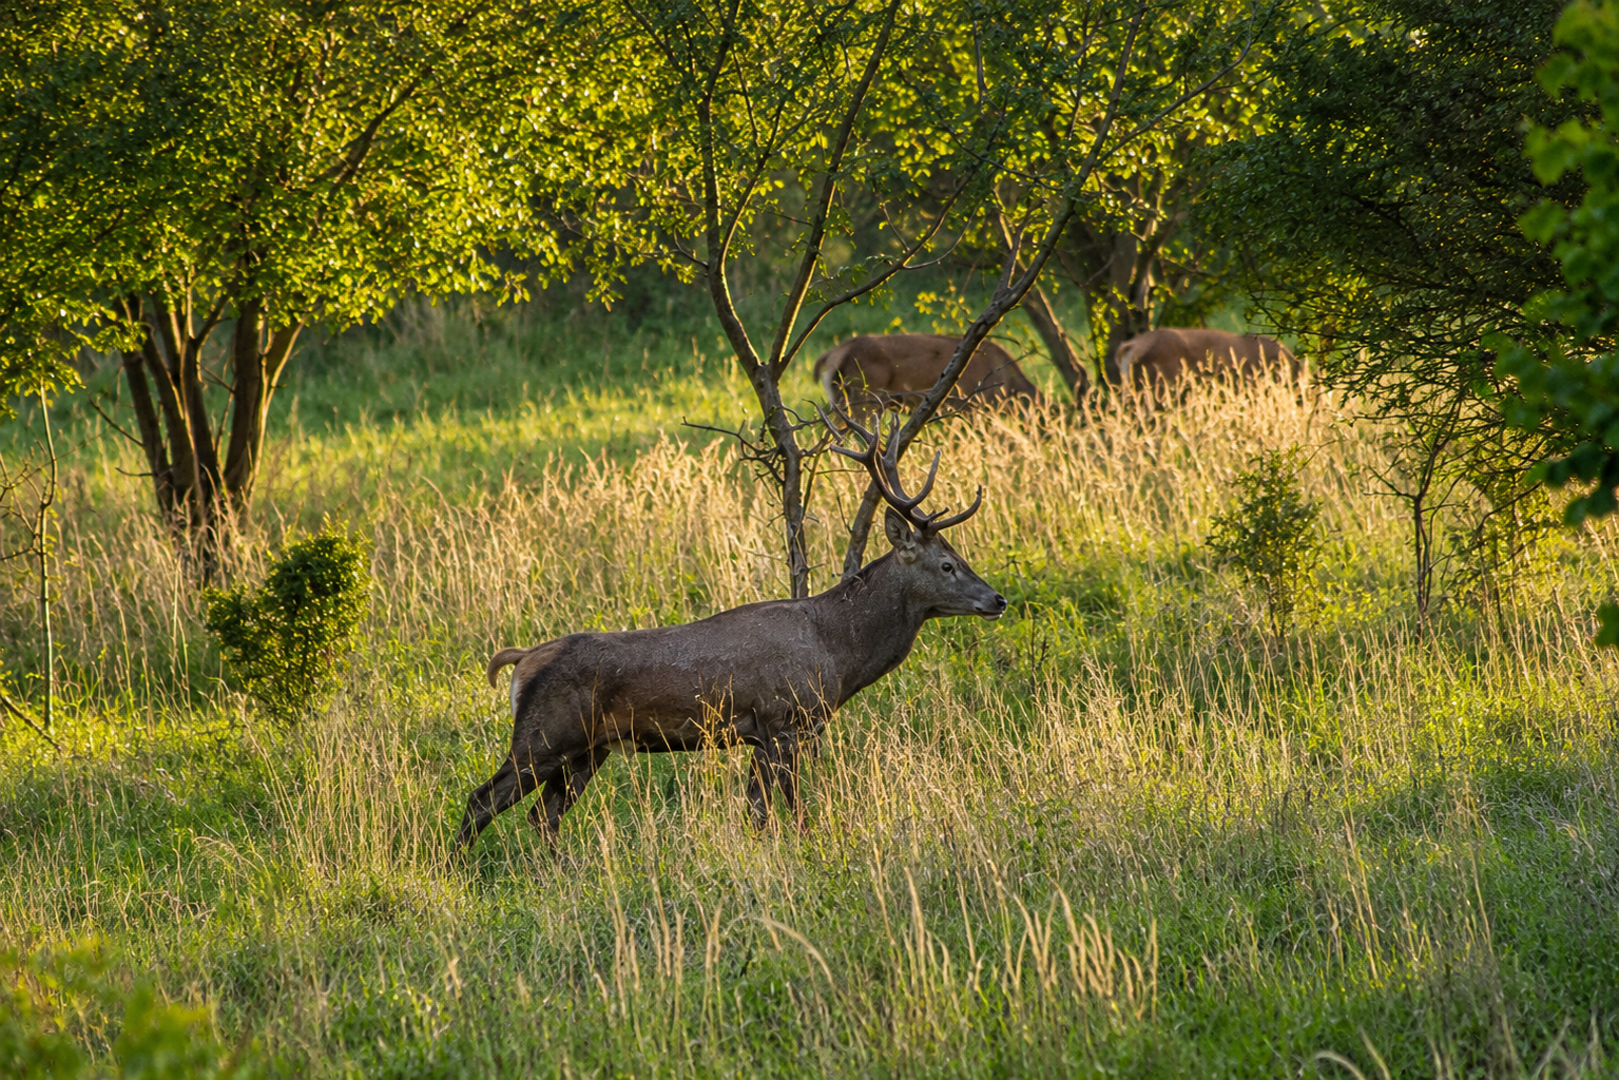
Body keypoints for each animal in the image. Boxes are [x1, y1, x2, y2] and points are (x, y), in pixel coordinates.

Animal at [452, 414, 1007, 859]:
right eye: (947, 564)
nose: (997, 599)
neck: (837, 652)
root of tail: (521, 661)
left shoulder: (758, 733)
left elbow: (757, 814)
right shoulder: (783, 718)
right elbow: (793, 809)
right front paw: (811, 853)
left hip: (589, 750)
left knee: (543, 816)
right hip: (543, 736)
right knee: (482, 799)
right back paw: (455, 872)